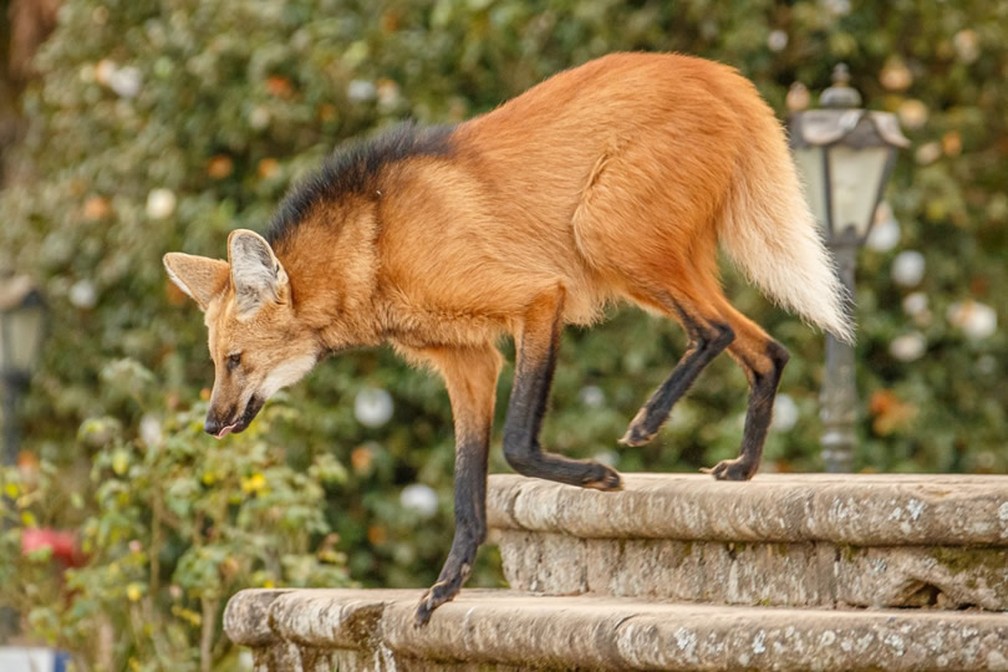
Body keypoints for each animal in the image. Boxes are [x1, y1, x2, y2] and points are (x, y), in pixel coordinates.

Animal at [163, 51, 850, 624]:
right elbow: (467, 489)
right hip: (646, 258)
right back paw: (742, 468)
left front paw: (598, 476)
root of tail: (718, 74)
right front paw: (446, 588)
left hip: (605, 235)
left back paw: (648, 422)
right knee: (766, 349)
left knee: (715, 329)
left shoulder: (537, 298)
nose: (211, 423)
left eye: (234, 360)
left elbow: (516, 443)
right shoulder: (468, 363)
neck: (373, 246)